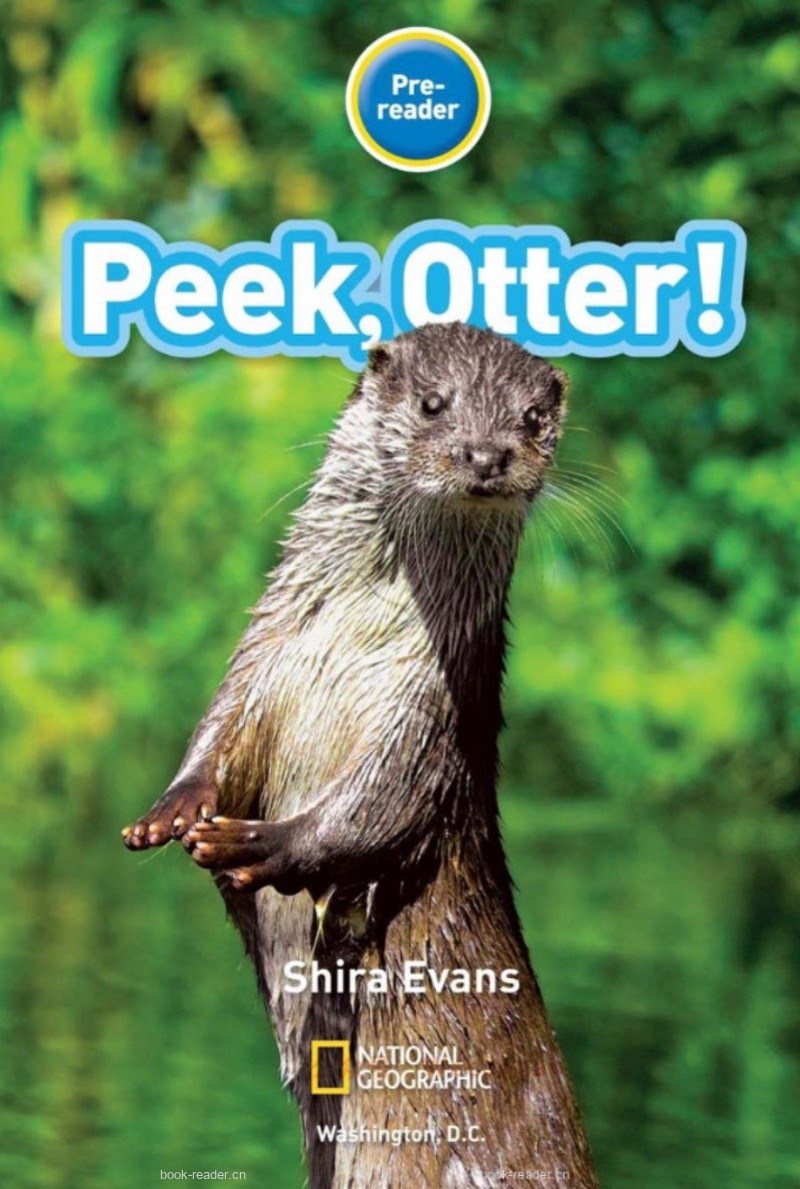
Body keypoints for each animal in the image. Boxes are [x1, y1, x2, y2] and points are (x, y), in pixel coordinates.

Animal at [123, 323, 598, 1189]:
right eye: (434, 402)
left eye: (531, 417)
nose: (487, 454)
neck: (351, 648)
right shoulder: (263, 653)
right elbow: (219, 732)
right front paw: (172, 810)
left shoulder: (433, 711)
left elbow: (379, 806)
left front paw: (257, 844)